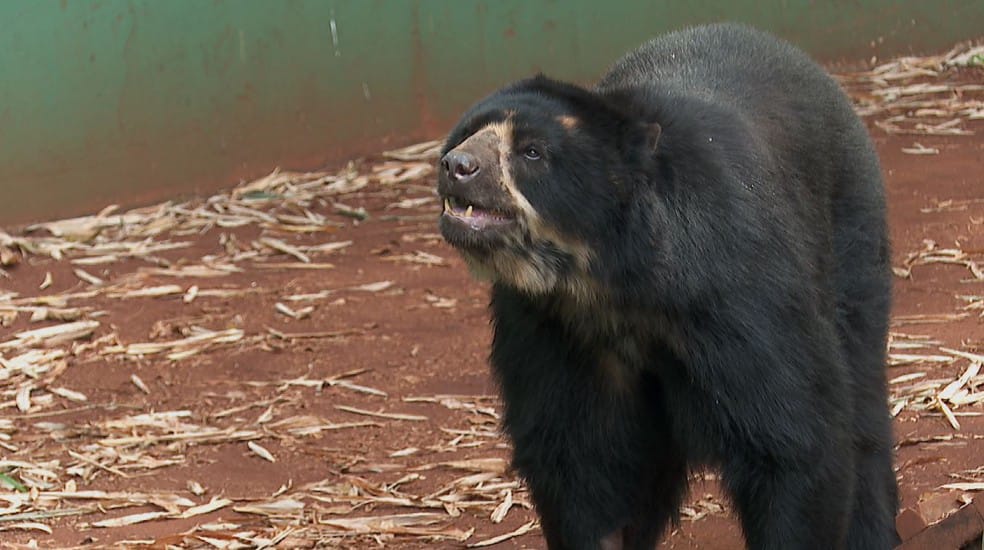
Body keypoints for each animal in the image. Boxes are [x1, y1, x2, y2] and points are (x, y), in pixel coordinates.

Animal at [436, 23, 897, 550]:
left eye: (531, 151)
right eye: (469, 132)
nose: (456, 166)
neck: (611, 281)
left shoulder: (736, 292)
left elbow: (793, 437)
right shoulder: (548, 324)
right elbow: (579, 456)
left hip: (849, 233)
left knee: (860, 387)